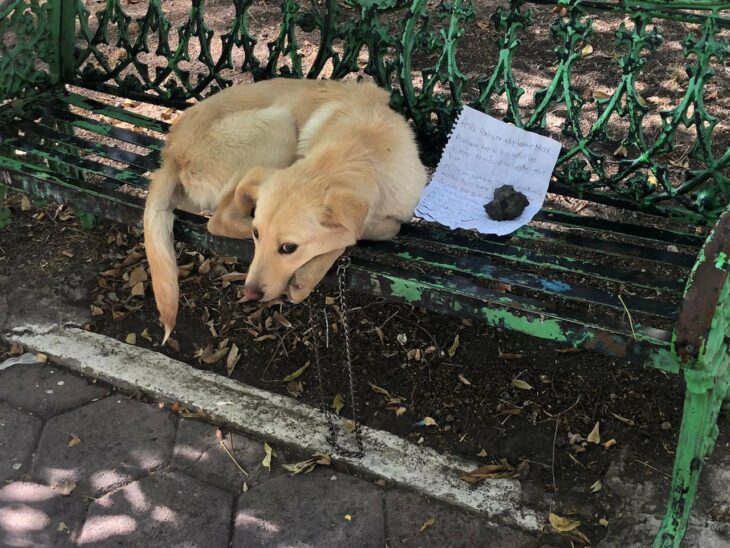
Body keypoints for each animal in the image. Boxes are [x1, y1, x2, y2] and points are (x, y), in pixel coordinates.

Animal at [144, 79, 426, 340]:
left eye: (289, 248)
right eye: (257, 234)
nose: (250, 293)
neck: (361, 149)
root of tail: (170, 154)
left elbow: (368, 229)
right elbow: (357, 234)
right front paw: (310, 273)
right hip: (279, 124)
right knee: (219, 220)